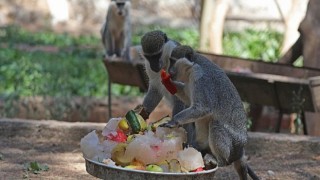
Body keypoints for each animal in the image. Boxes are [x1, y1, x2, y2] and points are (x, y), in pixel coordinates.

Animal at [162, 45, 260, 179]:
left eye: (172, 61)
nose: (168, 70)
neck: (192, 66)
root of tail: (241, 149)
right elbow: (189, 100)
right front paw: (167, 82)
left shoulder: (201, 78)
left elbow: (202, 108)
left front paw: (173, 121)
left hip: (234, 145)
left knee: (215, 124)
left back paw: (220, 161)